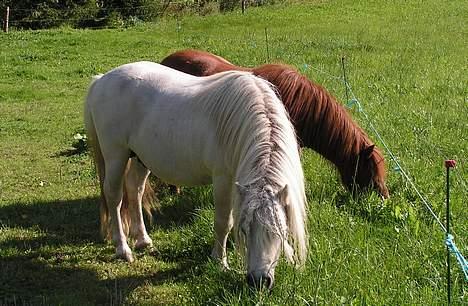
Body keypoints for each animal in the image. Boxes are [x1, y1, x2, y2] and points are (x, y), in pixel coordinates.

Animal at [85, 62, 308, 290]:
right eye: (244, 230)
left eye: (281, 232)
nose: (259, 281)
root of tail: (101, 79)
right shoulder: (223, 181)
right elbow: (223, 222)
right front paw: (220, 261)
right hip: (115, 156)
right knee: (114, 197)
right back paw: (122, 248)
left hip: (140, 158)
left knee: (135, 191)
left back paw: (143, 240)